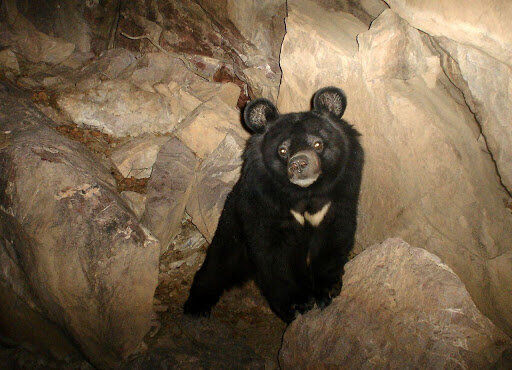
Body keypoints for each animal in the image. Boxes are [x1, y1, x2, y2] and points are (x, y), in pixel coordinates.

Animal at [184, 87, 364, 324]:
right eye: (283, 150)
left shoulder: (341, 192)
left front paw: (327, 291)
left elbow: (335, 234)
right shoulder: (263, 203)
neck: (304, 193)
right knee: (220, 261)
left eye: (318, 144)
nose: (299, 164)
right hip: (233, 224)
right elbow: (274, 253)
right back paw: (197, 307)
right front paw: (297, 304)